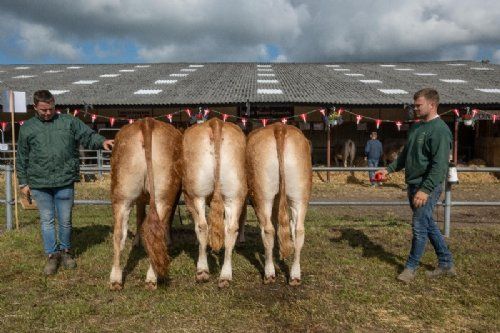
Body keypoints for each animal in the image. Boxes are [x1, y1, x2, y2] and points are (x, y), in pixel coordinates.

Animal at [108, 118, 183, 290]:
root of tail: (147, 122)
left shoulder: (140, 198)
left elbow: (140, 217)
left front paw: (137, 242)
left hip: (122, 194)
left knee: (118, 234)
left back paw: (115, 279)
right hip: (164, 196)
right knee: (158, 230)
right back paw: (151, 278)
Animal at [182, 117, 248, 288]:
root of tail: (215, 122)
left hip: (195, 194)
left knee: (202, 226)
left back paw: (202, 271)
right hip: (235, 195)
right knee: (231, 229)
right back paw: (225, 276)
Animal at [247, 123, 312, 284]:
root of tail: (279, 127)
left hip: (262, 196)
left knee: (267, 230)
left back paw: (269, 274)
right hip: (300, 194)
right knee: (298, 230)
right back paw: (295, 276)